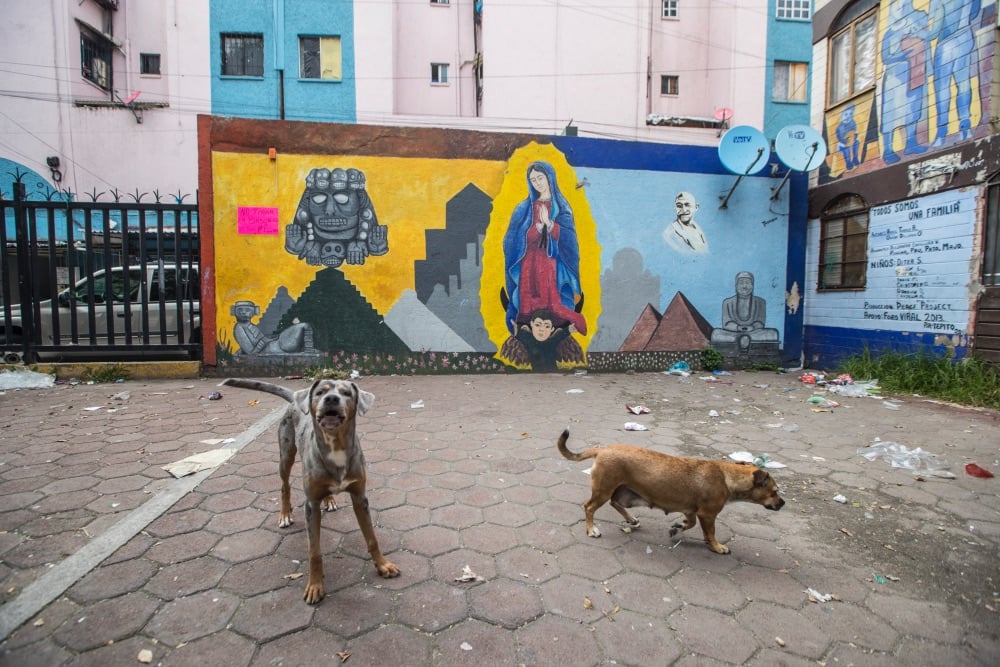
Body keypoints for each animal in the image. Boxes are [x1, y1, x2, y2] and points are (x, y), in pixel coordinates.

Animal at [225, 378, 400, 604]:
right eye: (320, 392)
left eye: (346, 393)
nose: (331, 399)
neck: (335, 445)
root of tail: (294, 398)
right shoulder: (311, 505)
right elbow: (314, 551)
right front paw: (315, 586)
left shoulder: (360, 497)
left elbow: (372, 538)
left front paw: (383, 565)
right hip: (286, 454)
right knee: (284, 485)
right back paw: (285, 514)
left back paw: (330, 500)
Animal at [560, 428, 784, 552]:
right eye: (774, 491)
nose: (783, 503)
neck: (726, 476)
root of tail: (602, 449)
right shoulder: (707, 515)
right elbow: (710, 533)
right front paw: (716, 547)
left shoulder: (692, 511)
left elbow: (690, 523)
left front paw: (677, 527)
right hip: (603, 490)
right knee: (589, 507)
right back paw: (591, 529)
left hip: (623, 493)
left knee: (616, 503)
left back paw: (631, 519)